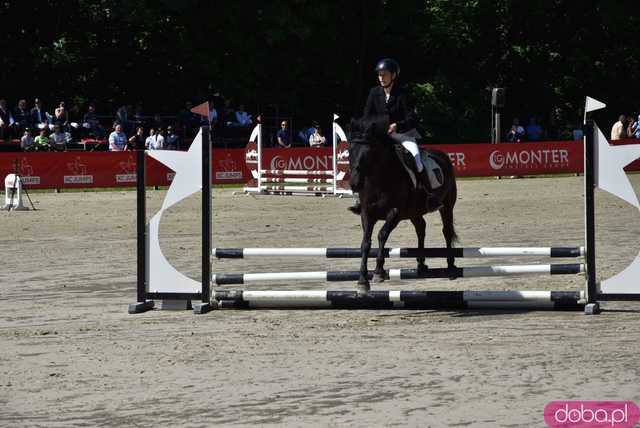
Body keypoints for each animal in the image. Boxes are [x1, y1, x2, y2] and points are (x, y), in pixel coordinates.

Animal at [348, 115, 458, 292]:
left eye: (368, 153)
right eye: (350, 151)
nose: (354, 184)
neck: (379, 180)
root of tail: (443, 156)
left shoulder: (395, 212)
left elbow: (382, 235)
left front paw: (378, 272)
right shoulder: (367, 213)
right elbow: (365, 243)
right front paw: (362, 280)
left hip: (447, 206)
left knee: (446, 231)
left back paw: (451, 266)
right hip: (414, 212)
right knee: (421, 228)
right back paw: (421, 264)